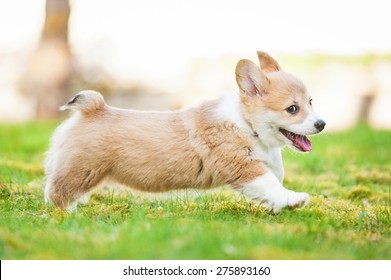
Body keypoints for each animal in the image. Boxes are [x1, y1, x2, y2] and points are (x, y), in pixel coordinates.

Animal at [44, 50, 326, 212]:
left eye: (311, 102)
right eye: (292, 108)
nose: (321, 124)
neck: (246, 123)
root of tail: (94, 108)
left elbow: (275, 175)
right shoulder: (243, 167)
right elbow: (269, 183)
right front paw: (292, 200)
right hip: (82, 168)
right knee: (57, 191)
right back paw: (62, 217)